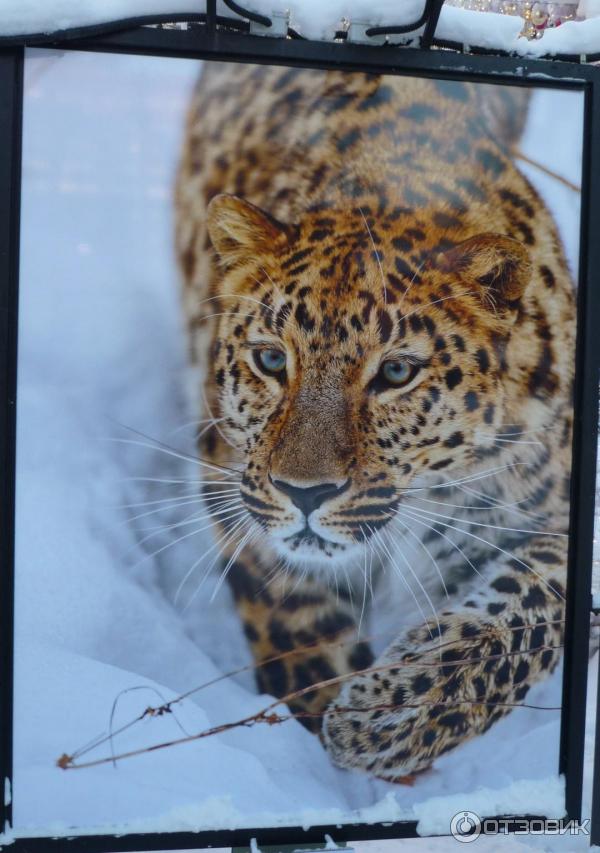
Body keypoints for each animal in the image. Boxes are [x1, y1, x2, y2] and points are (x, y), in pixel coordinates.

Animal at [172, 63, 572, 784]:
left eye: (395, 373)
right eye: (271, 360)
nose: (303, 493)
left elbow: (528, 613)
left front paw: (389, 716)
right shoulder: (235, 484)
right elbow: (300, 633)